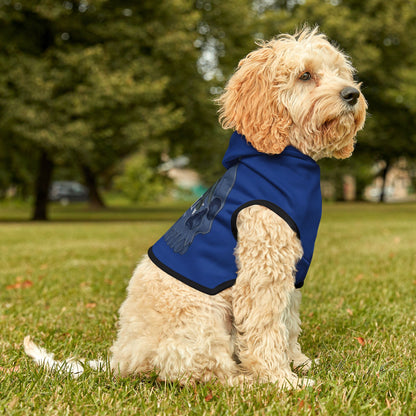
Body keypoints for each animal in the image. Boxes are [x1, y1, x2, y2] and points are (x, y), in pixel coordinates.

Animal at [24, 27, 366, 388]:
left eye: (340, 72)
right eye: (305, 75)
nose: (352, 94)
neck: (284, 158)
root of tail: (122, 359)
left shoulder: (291, 269)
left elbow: (288, 322)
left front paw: (298, 363)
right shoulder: (263, 269)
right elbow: (266, 327)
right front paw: (281, 380)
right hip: (202, 317)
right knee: (200, 371)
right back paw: (244, 380)